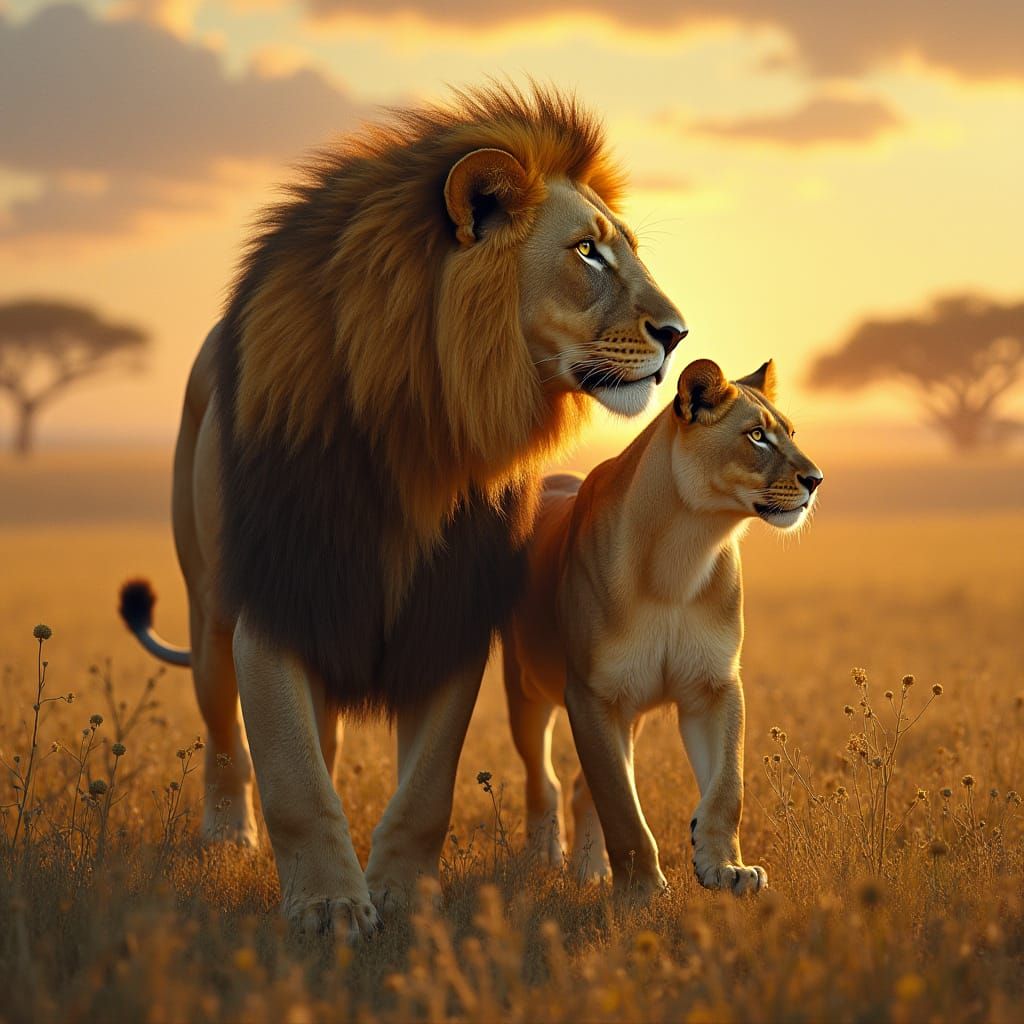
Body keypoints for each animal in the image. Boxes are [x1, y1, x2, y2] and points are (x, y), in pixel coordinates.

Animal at [118, 85, 687, 939]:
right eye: (587, 251)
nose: (679, 334)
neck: (421, 428)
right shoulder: (276, 600)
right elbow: (293, 777)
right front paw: (327, 906)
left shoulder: (448, 615)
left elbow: (426, 790)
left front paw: (396, 897)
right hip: (210, 615)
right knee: (226, 741)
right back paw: (227, 840)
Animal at [501, 358, 822, 898]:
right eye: (757, 435)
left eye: (792, 434)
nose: (816, 478)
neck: (685, 551)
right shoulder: (592, 695)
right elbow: (620, 806)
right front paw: (643, 893)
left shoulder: (714, 686)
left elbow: (728, 788)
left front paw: (726, 868)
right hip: (526, 686)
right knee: (543, 780)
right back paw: (543, 858)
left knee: (579, 788)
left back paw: (591, 871)